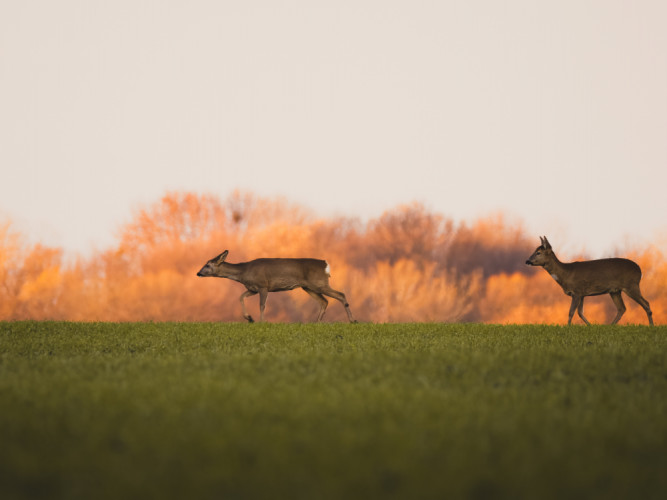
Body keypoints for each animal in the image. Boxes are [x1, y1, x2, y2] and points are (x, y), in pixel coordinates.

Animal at [196, 250, 358, 324]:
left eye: (208, 265)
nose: (198, 273)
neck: (244, 272)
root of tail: (325, 264)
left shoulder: (263, 286)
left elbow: (262, 305)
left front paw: (261, 321)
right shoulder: (252, 289)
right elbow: (240, 297)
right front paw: (249, 318)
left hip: (319, 283)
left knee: (341, 294)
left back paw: (352, 320)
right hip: (308, 287)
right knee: (324, 301)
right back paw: (316, 322)